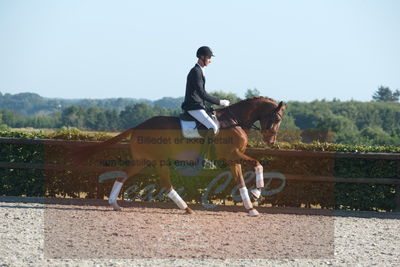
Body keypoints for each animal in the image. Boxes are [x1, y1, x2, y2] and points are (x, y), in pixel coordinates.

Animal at [72, 97, 284, 217]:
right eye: (277, 118)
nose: (271, 141)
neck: (234, 120)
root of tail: (139, 126)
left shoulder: (233, 158)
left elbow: (241, 180)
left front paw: (251, 207)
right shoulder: (232, 154)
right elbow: (257, 165)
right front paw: (256, 194)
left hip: (142, 160)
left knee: (123, 175)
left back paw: (114, 204)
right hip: (158, 160)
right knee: (166, 184)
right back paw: (186, 208)